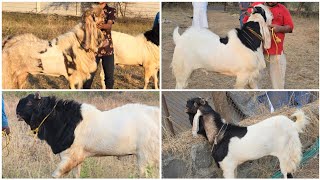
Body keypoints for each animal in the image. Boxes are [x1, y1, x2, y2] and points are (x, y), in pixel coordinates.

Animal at [16, 92, 160, 178]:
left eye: (29, 102)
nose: (16, 111)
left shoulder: (70, 156)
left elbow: (56, 175)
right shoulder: (77, 158)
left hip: (145, 157)